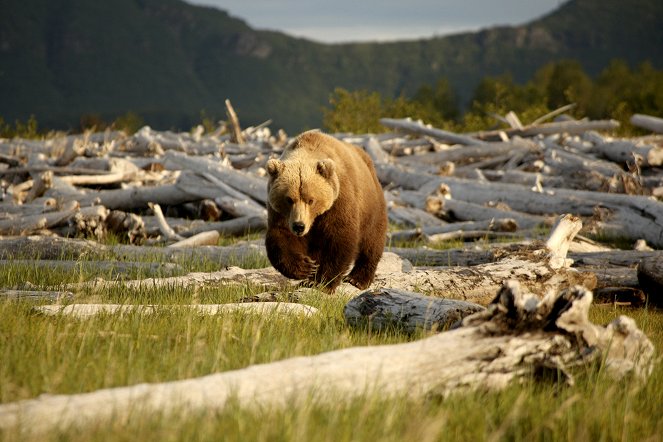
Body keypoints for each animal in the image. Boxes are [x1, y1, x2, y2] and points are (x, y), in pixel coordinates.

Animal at [266, 129, 390, 292]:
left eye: (311, 200)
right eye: (289, 199)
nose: (299, 226)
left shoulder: (339, 200)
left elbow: (339, 238)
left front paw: (323, 282)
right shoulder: (281, 213)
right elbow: (281, 236)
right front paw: (306, 267)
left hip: (371, 206)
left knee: (372, 242)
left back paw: (357, 279)